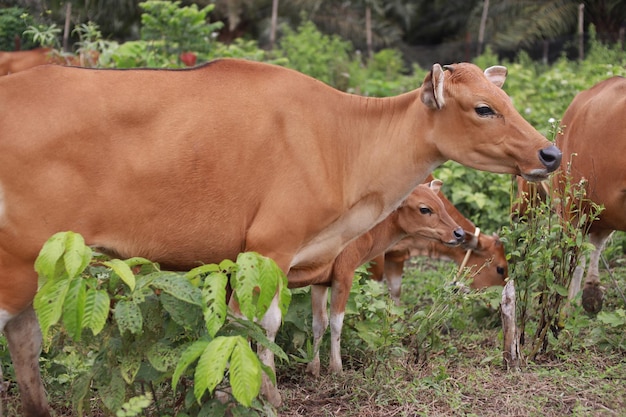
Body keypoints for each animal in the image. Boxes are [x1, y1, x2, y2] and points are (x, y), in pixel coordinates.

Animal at [298, 180, 464, 376]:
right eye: (424, 208)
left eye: (441, 203)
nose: (459, 233)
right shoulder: (344, 273)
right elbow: (336, 322)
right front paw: (337, 369)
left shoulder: (320, 281)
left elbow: (319, 322)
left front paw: (313, 368)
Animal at [512, 76, 624, 314]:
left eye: (518, 180)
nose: (515, 212)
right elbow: (593, 245)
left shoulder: (569, 208)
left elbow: (574, 258)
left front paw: (568, 305)